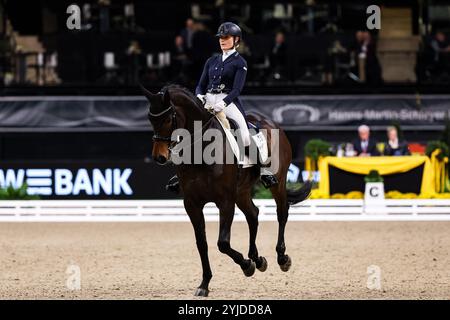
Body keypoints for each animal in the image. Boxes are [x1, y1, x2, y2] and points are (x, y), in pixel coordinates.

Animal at [142, 84, 312, 298]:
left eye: (167, 118)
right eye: (150, 119)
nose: (160, 157)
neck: (202, 150)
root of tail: (270, 122)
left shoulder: (225, 201)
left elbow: (222, 243)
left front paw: (246, 266)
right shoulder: (192, 203)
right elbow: (202, 243)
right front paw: (204, 284)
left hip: (277, 182)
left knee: (282, 213)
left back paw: (281, 258)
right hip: (241, 191)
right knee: (253, 215)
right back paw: (258, 259)